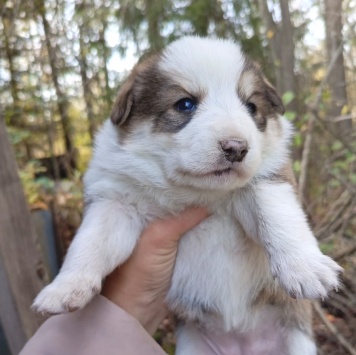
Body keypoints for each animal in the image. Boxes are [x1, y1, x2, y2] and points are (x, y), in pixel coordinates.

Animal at [33, 37, 342, 354]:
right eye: (185, 104)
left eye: (251, 106)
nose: (236, 148)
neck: (195, 191)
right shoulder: (116, 200)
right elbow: (90, 242)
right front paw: (64, 287)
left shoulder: (267, 178)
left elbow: (279, 216)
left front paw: (305, 267)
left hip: (298, 342)